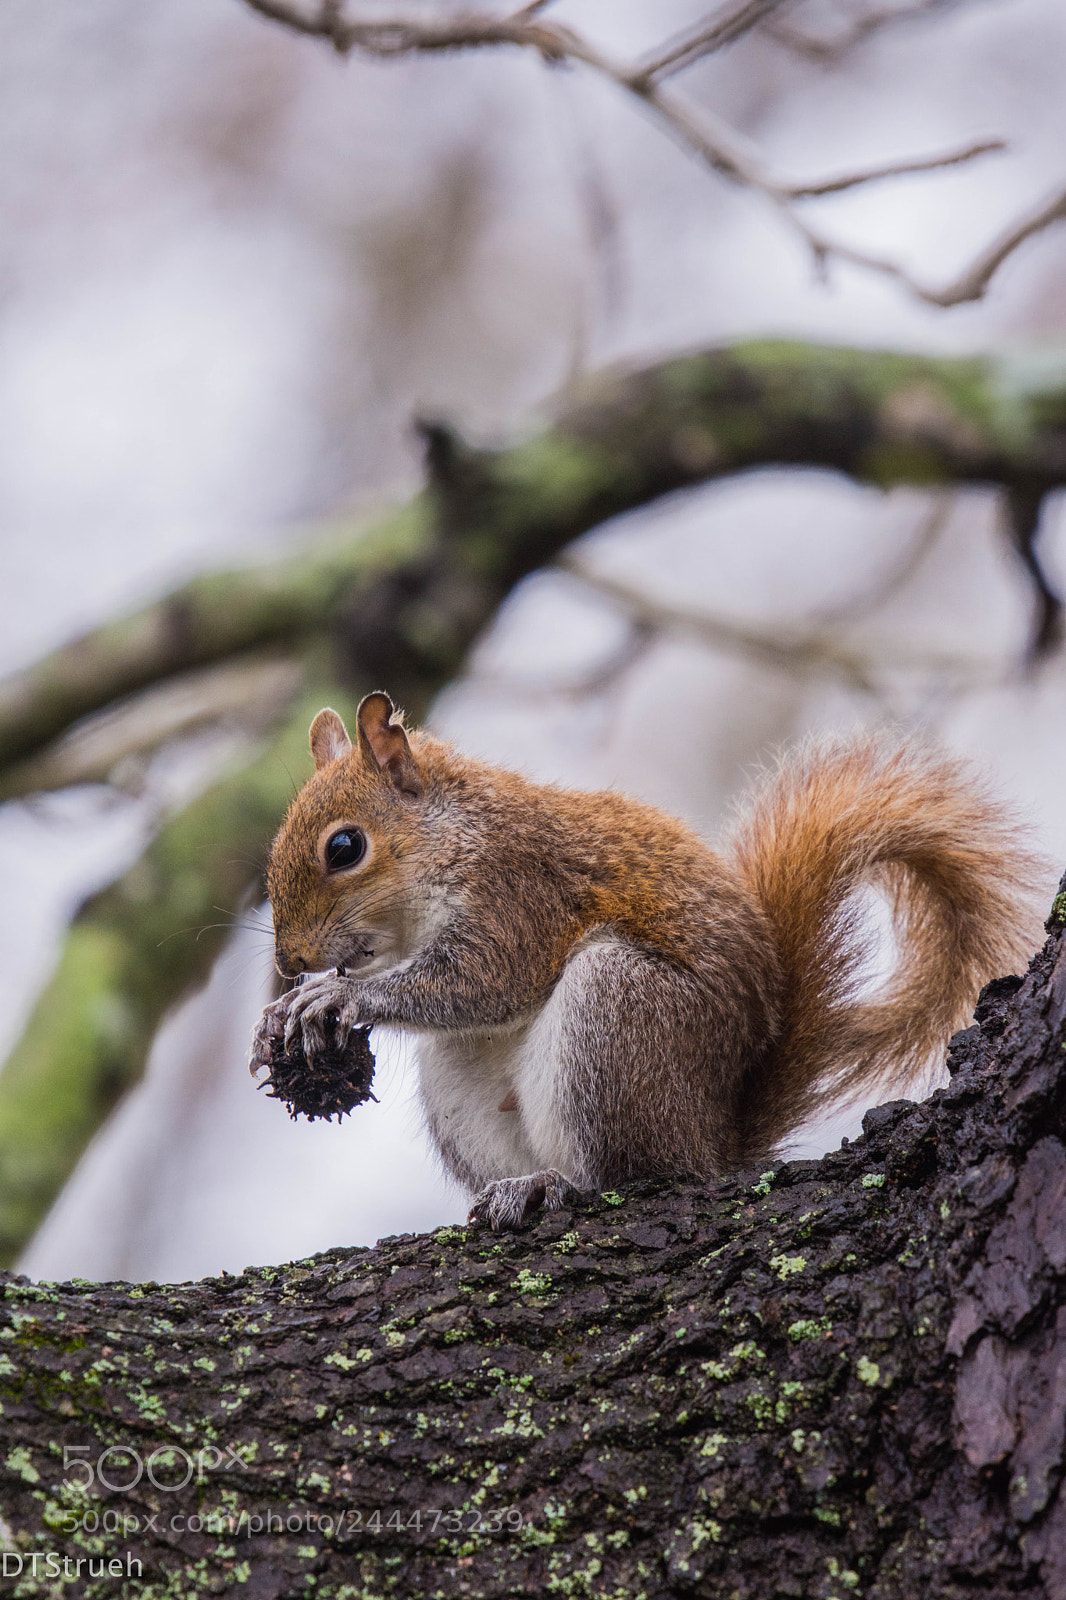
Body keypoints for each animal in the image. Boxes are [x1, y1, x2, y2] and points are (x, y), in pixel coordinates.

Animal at [250, 691, 1043, 1230]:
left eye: (345, 847)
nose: (293, 957)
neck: (450, 835)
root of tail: (714, 1138)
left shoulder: (519, 893)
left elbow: (486, 981)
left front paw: (337, 999)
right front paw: (286, 1012)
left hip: (620, 1014)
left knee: (632, 1177)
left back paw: (561, 1187)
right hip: (468, 1081)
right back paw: (518, 1187)